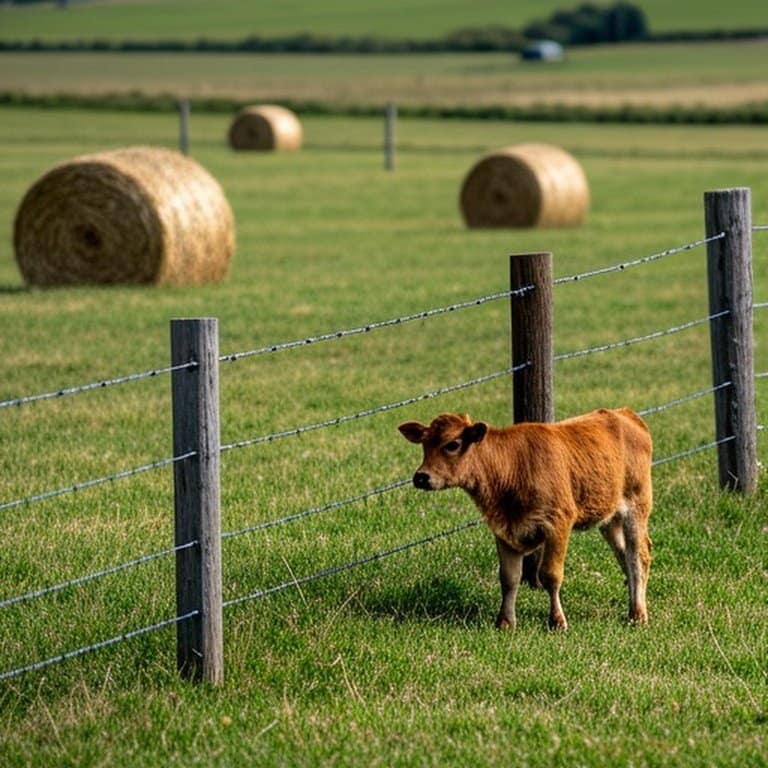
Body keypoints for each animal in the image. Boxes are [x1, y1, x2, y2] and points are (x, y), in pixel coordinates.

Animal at [398, 408, 653, 631]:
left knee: (638, 556)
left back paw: (638, 614)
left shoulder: (558, 523)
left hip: (636, 507)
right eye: (424, 444)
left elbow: (550, 575)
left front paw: (557, 621)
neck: (513, 467)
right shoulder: (504, 531)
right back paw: (633, 604)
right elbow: (509, 578)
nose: (421, 477)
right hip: (609, 519)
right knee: (624, 554)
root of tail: (625, 414)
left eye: (452, 444)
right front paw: (505, 622)